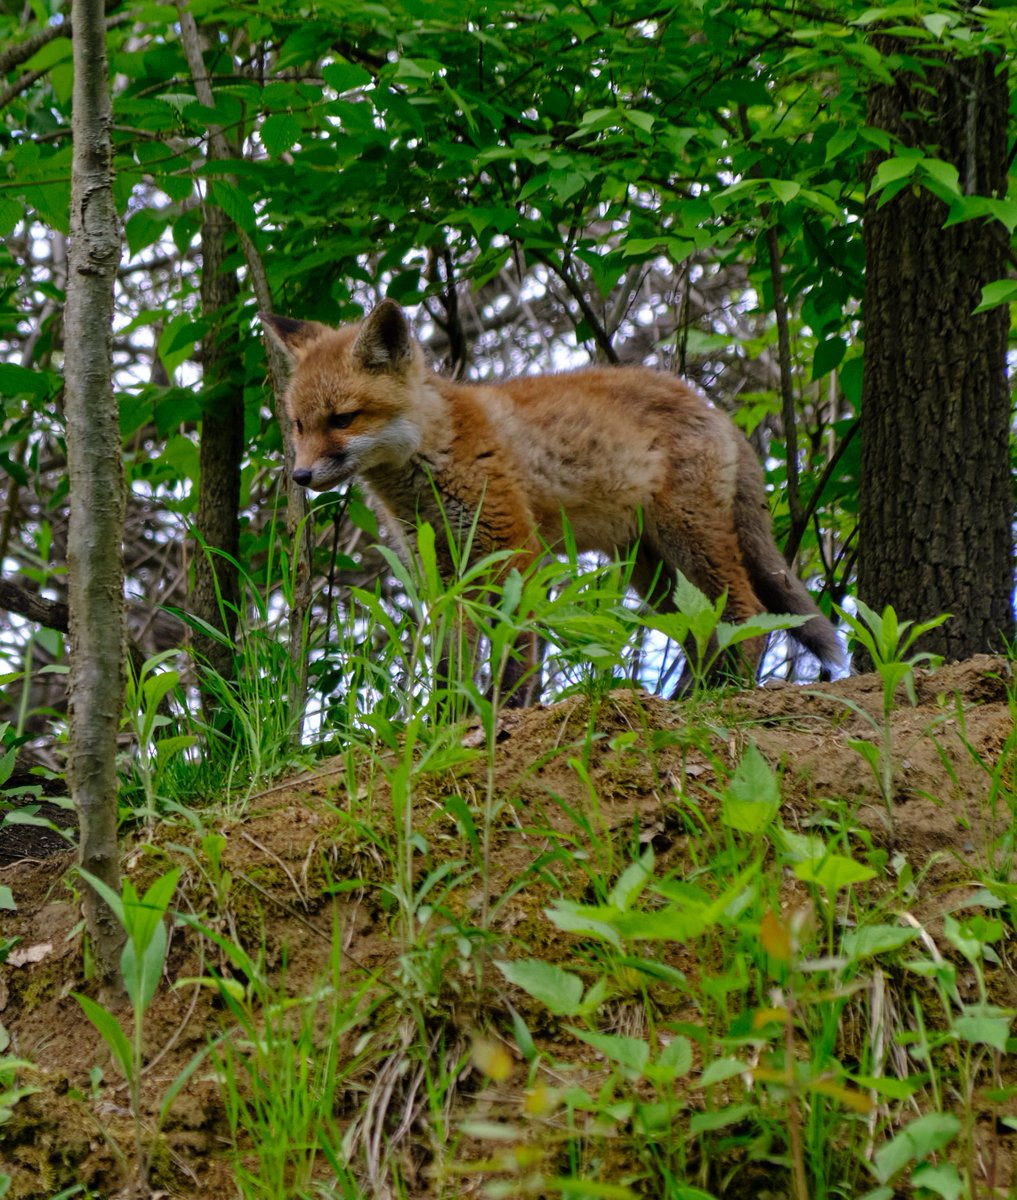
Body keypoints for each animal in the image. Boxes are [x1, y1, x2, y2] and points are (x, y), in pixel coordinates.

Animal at [261, 299, 843, 698]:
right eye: (298, 425)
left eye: (343, 419)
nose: (301, 476)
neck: (435, 453)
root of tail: (713, 408)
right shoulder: (445, 571)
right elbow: (453, 661)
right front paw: (448, 723)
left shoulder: (513, 545)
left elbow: (517, 647)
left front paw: (507, 709)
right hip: (654, 570)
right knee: (702, 632)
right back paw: (687, 695)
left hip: (689, 539)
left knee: (746, 615)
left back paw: (717, 693)